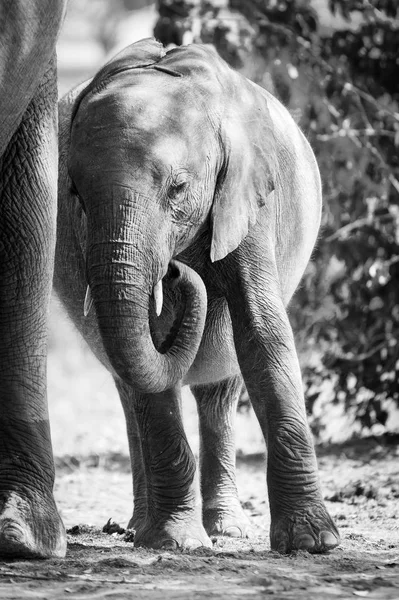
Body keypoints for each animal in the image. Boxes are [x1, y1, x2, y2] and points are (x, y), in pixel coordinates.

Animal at [54, 37, 340, 552]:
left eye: (178, 187)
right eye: (76, 196)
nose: (174, 269)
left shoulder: (246, 196)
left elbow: (263, 334)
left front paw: (312, 543)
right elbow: (150, 353)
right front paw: (176, 542)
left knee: (221, 389)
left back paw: (227, 529)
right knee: (129, 385)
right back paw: (140, 528)